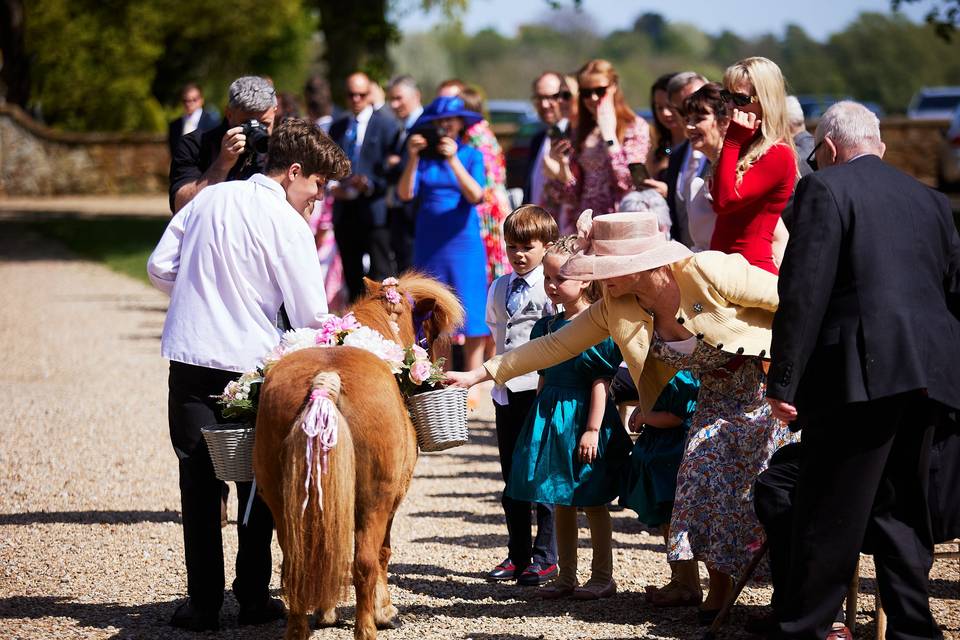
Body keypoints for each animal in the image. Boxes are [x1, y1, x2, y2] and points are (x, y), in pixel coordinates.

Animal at [253, 272, 464, 636]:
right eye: (431, 334)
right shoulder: (391, 500)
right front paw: (385, 611)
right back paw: (368, 627)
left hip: (282, 501)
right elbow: (382, 554)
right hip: (373, 501)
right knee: (364, 561)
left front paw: (326, 612)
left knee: (297, 562)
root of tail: (326, 380)